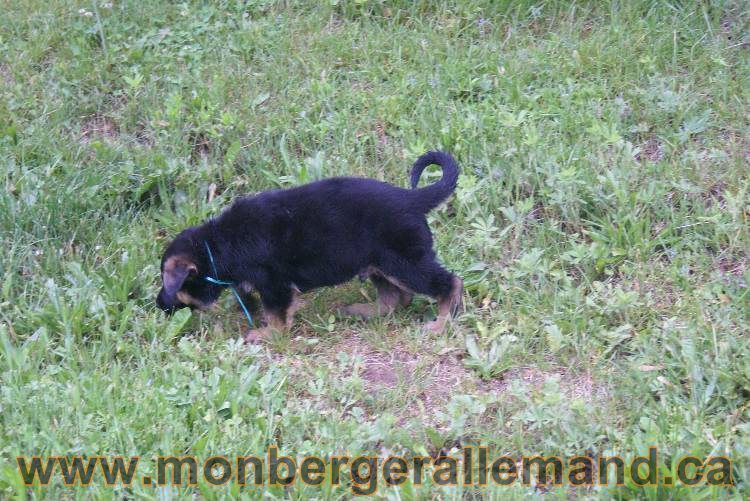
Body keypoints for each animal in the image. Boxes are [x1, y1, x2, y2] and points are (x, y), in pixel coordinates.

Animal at [157, 150, 464, 342]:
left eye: (172, 285)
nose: (159, 305)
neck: (215, 245)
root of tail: (411, 199)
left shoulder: (274, 285)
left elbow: (276, 314)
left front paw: (269, 335)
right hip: (378, 262)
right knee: (392, 299)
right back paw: (362, 311)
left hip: (404, 262)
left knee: (449, 282)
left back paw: (440, 323)